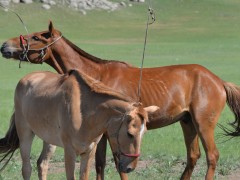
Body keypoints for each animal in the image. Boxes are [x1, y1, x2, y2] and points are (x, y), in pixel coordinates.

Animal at [0, 68, 158, 179]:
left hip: (49, 140)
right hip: (25, 134)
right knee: (27, 169)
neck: (84, 112)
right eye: (129, 133)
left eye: (144, 133)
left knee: (42, 165)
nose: (130, 167)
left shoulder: (89, 151)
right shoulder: (69, 151)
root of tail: (26, 79)